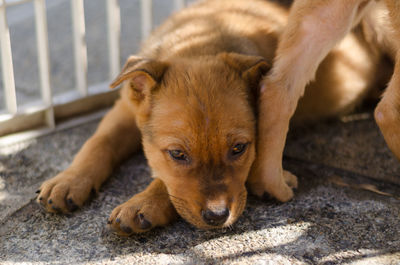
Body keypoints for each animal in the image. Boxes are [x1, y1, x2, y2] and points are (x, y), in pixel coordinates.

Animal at [36, 0, 394, 235]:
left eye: (239, 149)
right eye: (177, 154)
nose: (217, 216)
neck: (198, 42)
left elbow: (166, 183)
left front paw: (143, 204)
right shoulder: (125, 108)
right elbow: (98, 143)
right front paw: (68, 181)